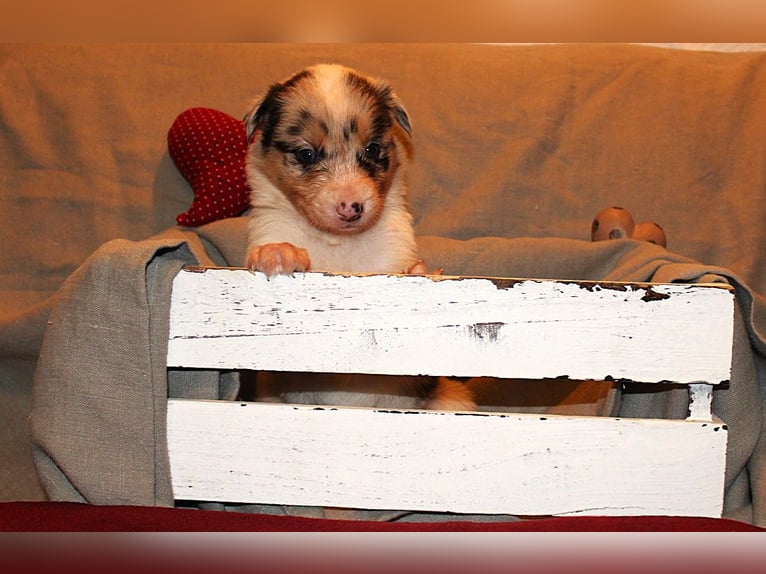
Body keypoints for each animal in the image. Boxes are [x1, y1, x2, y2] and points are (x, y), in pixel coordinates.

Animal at [244, 65, 474, 412]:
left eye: (373, 149)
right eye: (306, 154)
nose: (351, 207)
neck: (340, 243)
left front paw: (418, 272)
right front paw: (279, 253)